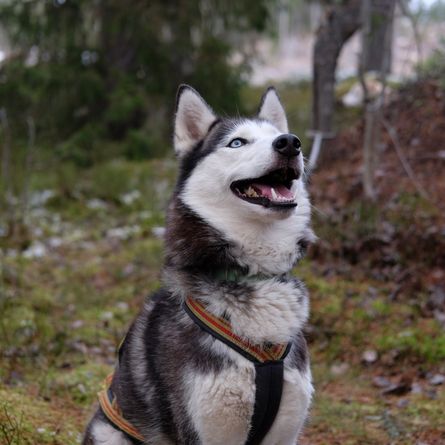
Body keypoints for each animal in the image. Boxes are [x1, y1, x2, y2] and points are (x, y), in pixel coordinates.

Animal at [82, 85, 312, 442]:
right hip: (109, 432)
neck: (254, 274)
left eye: (276, 135)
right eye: (237, 142)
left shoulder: (286, 429)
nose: (289, 142)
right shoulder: (204, 429)